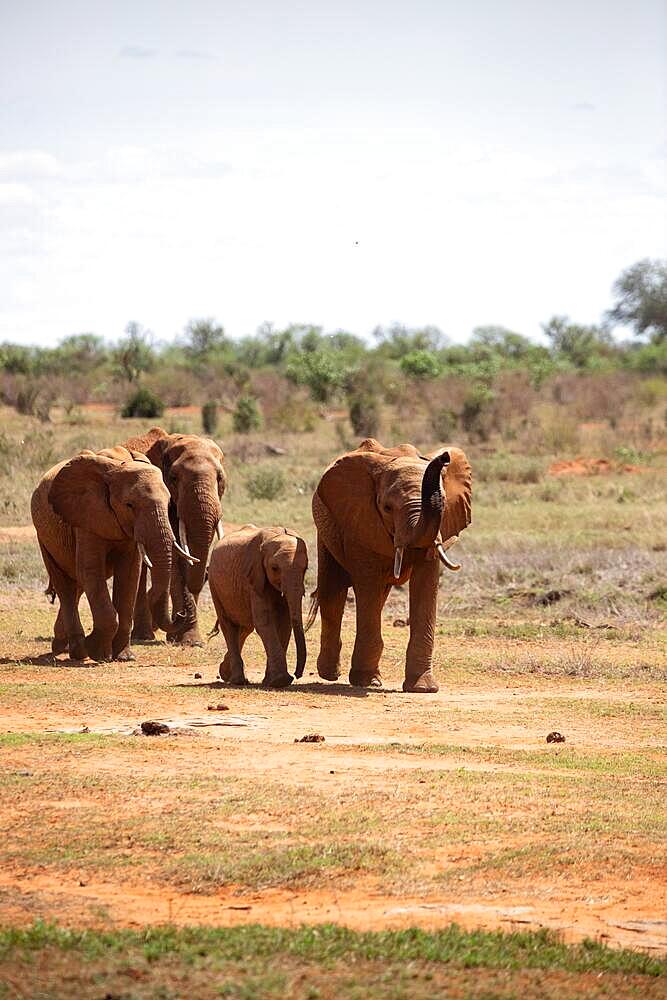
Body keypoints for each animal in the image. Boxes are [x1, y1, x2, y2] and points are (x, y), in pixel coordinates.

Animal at [30, 450, 196, 660]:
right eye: (129, 505)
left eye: (168, 504)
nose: (180, 614)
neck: (116, 467)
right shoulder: (86, 517)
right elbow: (91, 571)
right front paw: (98, 652)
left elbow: (130, 574)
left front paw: (124, 657)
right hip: (43, 537)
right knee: (65, 585)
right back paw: (78, 651)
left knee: (77, 585)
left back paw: (62, 646)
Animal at [124, 426, 227, 644]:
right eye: (173, 478)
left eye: (220, 478)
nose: (207, 573)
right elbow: (176, 559)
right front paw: (189, 641)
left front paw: (189, 641)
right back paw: (144, 635)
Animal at [210, 524, 310, 688]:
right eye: (274, 568)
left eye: (305, 569)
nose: (297, 674)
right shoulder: (253, 579)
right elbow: (265, 623)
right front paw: (280, 681)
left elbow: (284, 623)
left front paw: (271, 681)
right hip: (214, 586)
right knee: (229, 626)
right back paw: (237, 681)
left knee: (245, 628)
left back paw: (225, 673)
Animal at [310, 442, 472, 692]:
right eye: (387, 508)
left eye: (444, 504)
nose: (444, 456)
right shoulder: (360, 521)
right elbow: (367, 584)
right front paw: (364, 682)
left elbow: (425, 584)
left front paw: (423, 688)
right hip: (326, 529)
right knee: (333, 592)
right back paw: (330, 674)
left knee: (377, 597)